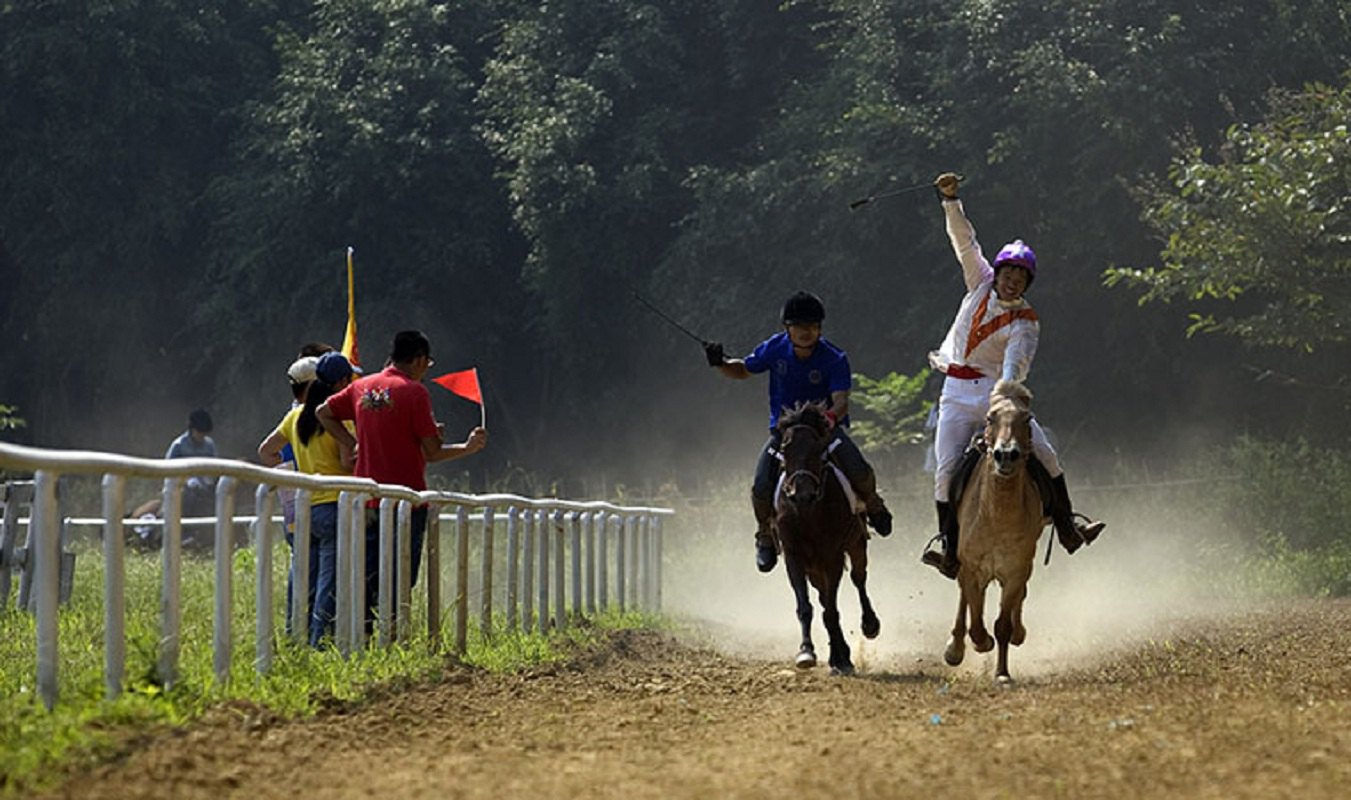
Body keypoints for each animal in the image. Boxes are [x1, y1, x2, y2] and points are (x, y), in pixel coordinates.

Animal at [778, 402, 880, 672]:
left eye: (818, 448)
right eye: (785, 449)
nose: (802, 494)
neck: (808, 513)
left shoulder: (832, 556)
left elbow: (832, 610)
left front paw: (839, 660)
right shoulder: (793, 556)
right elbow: (807, 607)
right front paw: (806, 652)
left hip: (855, 545)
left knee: (858, 578)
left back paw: (869, 625)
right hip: (813, 569)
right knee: (824, 597)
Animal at [940, 378, 1042, 681]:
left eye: (1027, 418)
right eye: (990, 418)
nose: (1006, 455)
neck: (998, 516)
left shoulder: (1016, 570)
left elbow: (1003, 625)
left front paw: (1002, 673)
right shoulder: (973, 568)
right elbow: (975, 620)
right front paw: (978, 643)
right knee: (965, 600)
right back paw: (955, 647)